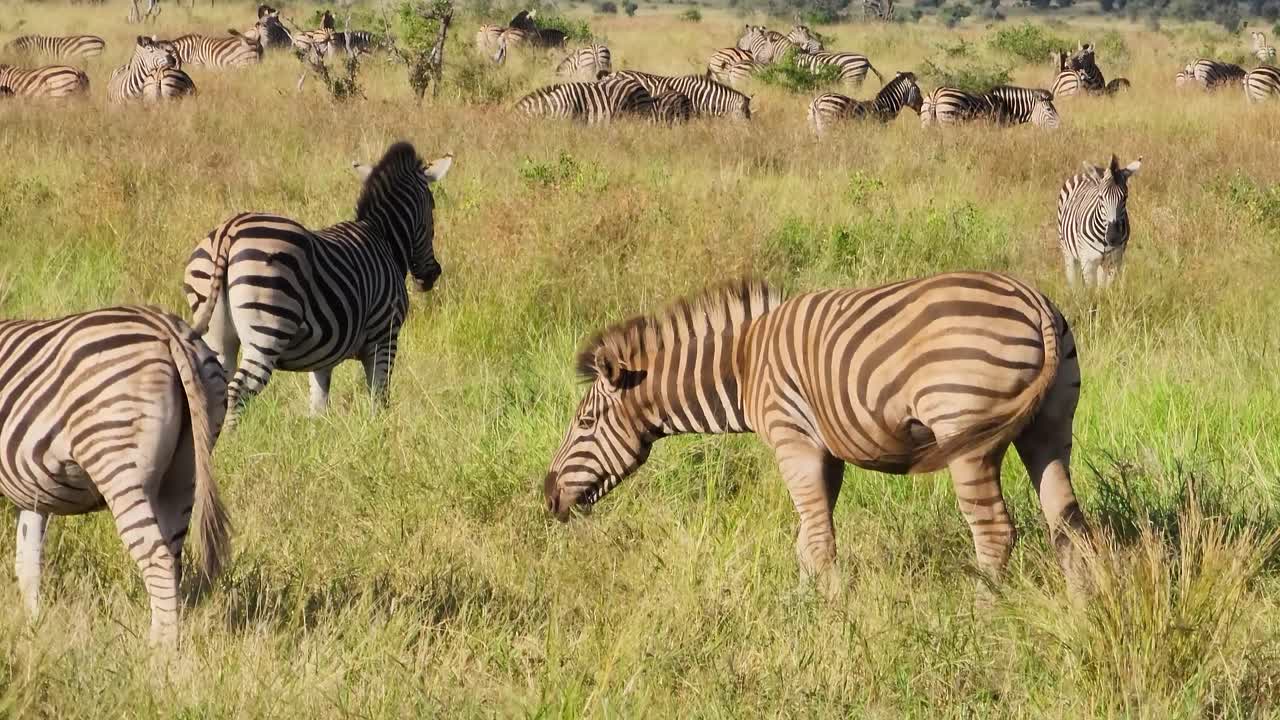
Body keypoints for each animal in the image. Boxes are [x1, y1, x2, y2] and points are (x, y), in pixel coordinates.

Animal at [0, 305, 231, 645]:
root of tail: (168, 330)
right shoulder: (32, 495)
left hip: (117, 461)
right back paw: (155, 641)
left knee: (157, 558)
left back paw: (160, 652)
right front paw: (33, 629)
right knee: (172, 558)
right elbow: (28, 564)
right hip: (183, 473)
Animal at [182, 142, 453, 426]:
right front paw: (380, 429)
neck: (384, 239)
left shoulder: (324, 352)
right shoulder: (385, 335)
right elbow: (379, 396)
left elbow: (318, 403)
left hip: (216, 333)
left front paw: (319, 434)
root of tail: (228, 231)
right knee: (238, 389)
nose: (432, 274)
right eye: (433, 206)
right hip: (267, 331)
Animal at [544, 272, 1090, 601]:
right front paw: (805, 603)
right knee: (1069, 524)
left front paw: (828, 614)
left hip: (967, 432)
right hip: (1049, 428)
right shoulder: (827, 450)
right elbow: (809, 537)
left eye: (585, 424)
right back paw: (1082, 609)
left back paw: (981, 613)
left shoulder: (793, 440)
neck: (743, 365)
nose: (547, 496)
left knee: (995, 530)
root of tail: (1036, 305)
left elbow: (817, 537)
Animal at [1058, 155, 1142, 289]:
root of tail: (1085, 174)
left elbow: (1105, 290)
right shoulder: (1088, 262)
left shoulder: (1114, 261)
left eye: (1125, 197)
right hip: (1067, 250)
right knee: (1072, 279)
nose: (1113, 237)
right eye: (1101, 197)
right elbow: (1091, 289)